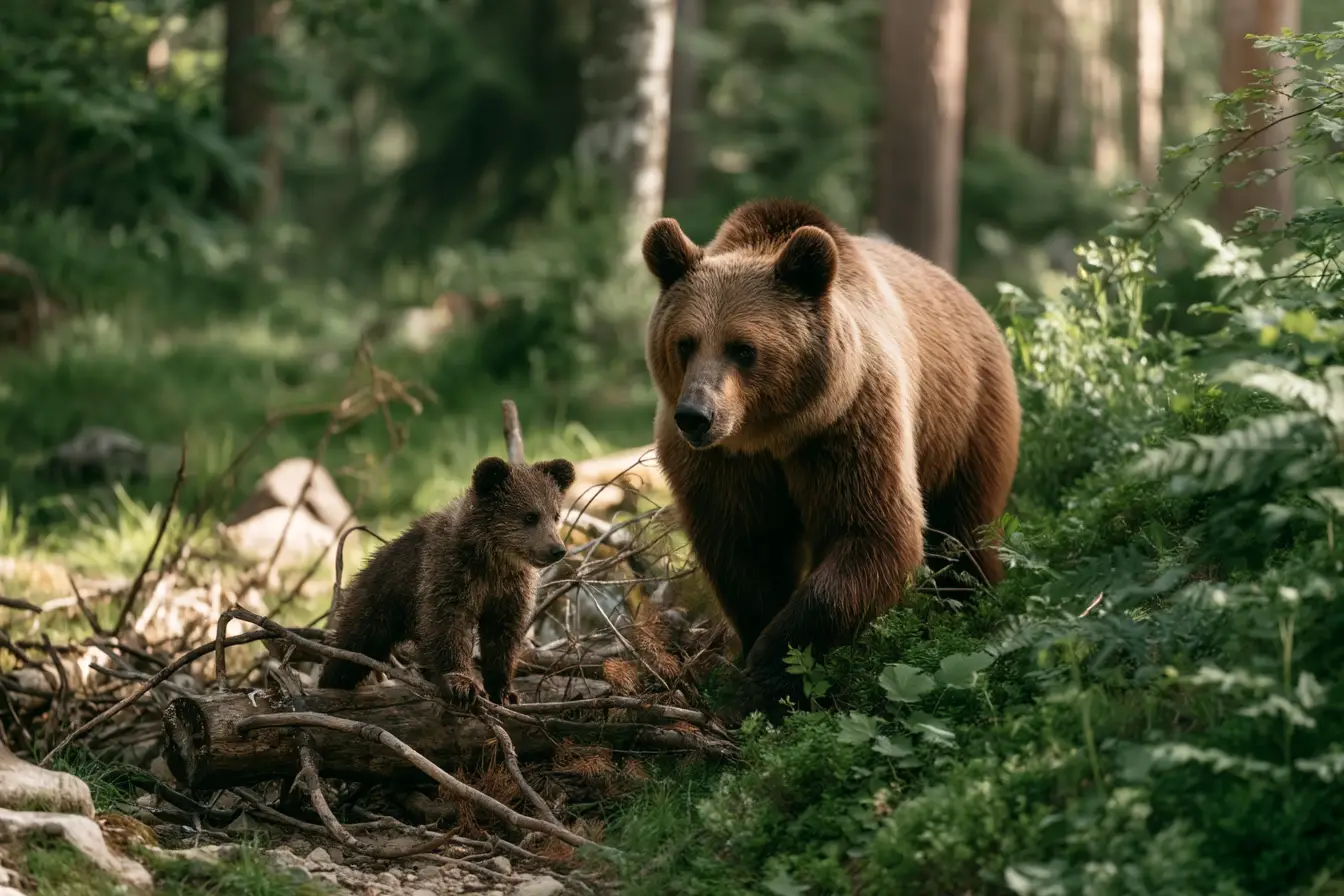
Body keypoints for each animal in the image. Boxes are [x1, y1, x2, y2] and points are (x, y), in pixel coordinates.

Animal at [317, 455, 576, 705]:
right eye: (530, 516)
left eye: (555, 515)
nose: (557, 549)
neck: (493, 559)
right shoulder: (449, 573)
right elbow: (448, 625)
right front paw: (463, 685)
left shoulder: (509, 590)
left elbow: (503, 637)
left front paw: (505, 692)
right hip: (380, 600)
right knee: (355, 645)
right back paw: (331, 682)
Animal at [641, 198, 1020, 716]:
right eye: (685, 342)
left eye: (743, 348)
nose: (696, 416)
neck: (771, 433)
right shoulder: (725, 465)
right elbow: (745, 546)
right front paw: (755, 653)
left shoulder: (847, 424)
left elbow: (872, 532)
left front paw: (771, 669)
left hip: (965, 419)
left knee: (962, 536)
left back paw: (970, 608)